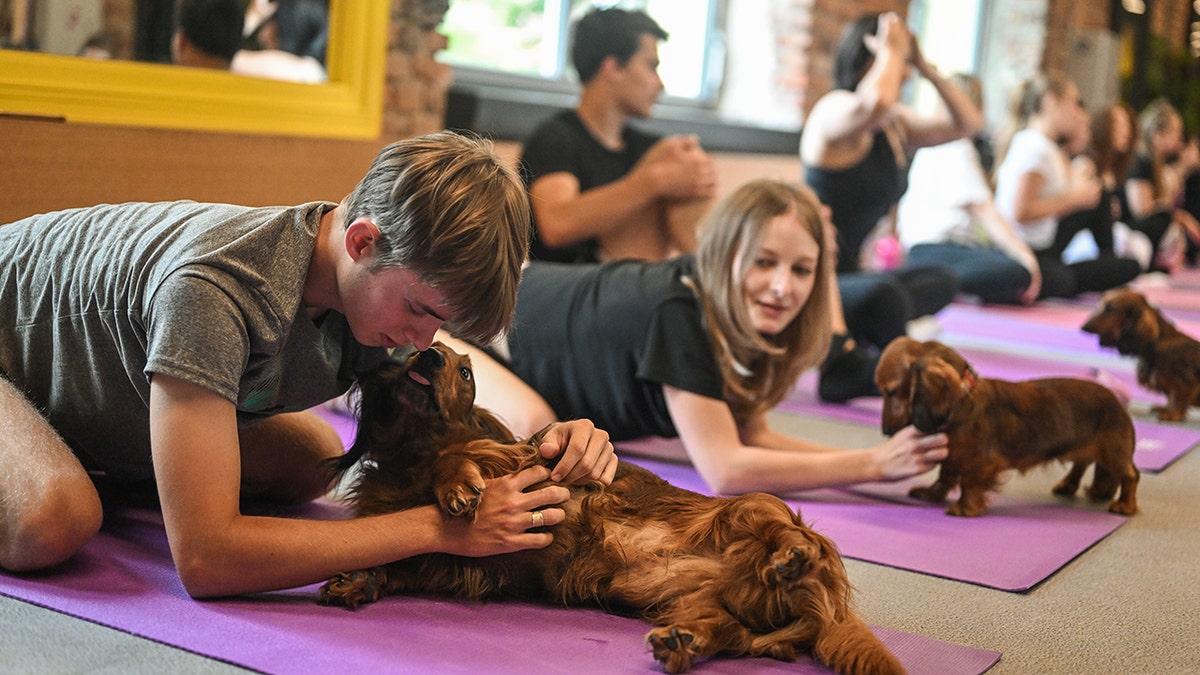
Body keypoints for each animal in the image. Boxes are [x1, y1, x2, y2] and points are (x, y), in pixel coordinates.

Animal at [319, 341, 902, 672]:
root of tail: (827, 603)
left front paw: (458, 486)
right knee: (731, 633)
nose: (432, 357)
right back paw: (683, 643)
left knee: (790, 536)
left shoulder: (520, 461)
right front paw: (361, 578)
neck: (410, 457)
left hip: (753, 507)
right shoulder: (456, 560)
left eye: (467, 374)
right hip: (709, 603)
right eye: (414, 350)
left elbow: (462, 455)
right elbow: (402, 561)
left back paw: (792, 557)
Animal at [878, 338, 1137, 516]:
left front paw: (964, 507)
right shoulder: (953, 455)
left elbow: (969, 481)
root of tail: (1117, 402)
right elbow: (945, 476)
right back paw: (1068, 485)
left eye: (891, 392)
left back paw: (1125, 505)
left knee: (1131, 475)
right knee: (1081, 463)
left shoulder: (981, 461)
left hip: (1113, 452)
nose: (885, 431)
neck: (963, 401)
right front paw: (931, 493)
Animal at [1080, 289, 1200, 420]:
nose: (1084, 327)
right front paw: (1165, 408)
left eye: (1110, 308)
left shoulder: (1184, 381)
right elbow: (1171, 399)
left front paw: (1173, 414)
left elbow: (1178, 399)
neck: (1155, 343)